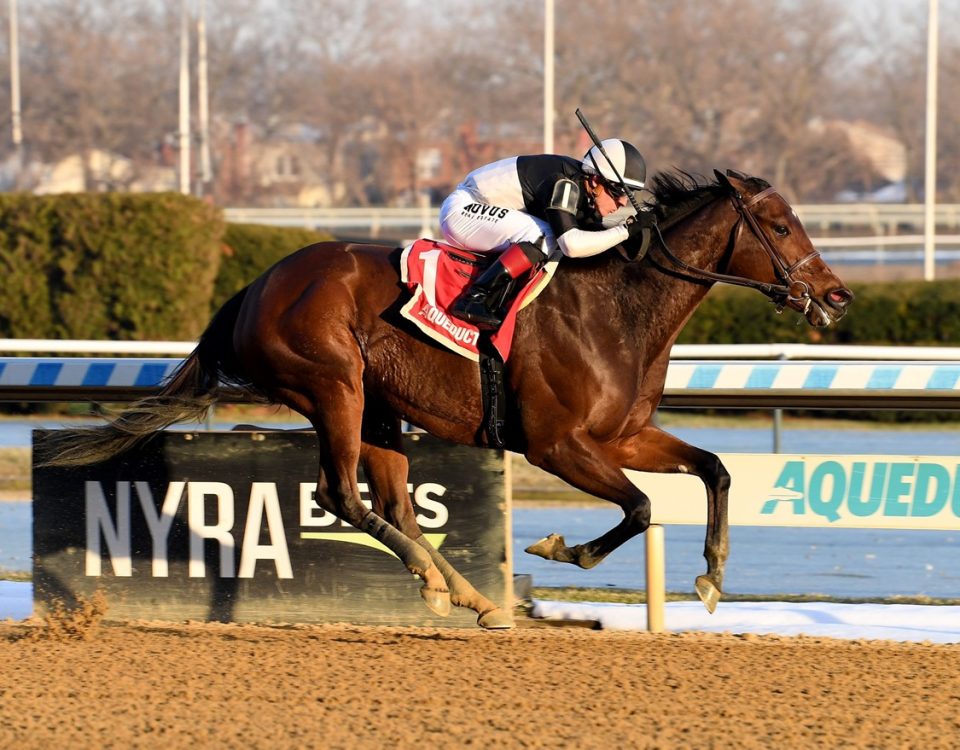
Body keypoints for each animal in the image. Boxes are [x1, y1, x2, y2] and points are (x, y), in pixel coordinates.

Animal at [43, 169, 856, 628]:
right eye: (779, 224)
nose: (837, 297)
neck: (615, 309)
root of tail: (255, 286)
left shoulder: (622, 436)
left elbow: (713, 469)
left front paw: (713, 575)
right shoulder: (556, 443)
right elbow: (641, 507)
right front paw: (561, 547)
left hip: (378, 406)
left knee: (392, 504)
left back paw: (469, 596)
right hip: (333, 385)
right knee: (340, 495)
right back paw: (445, 585)